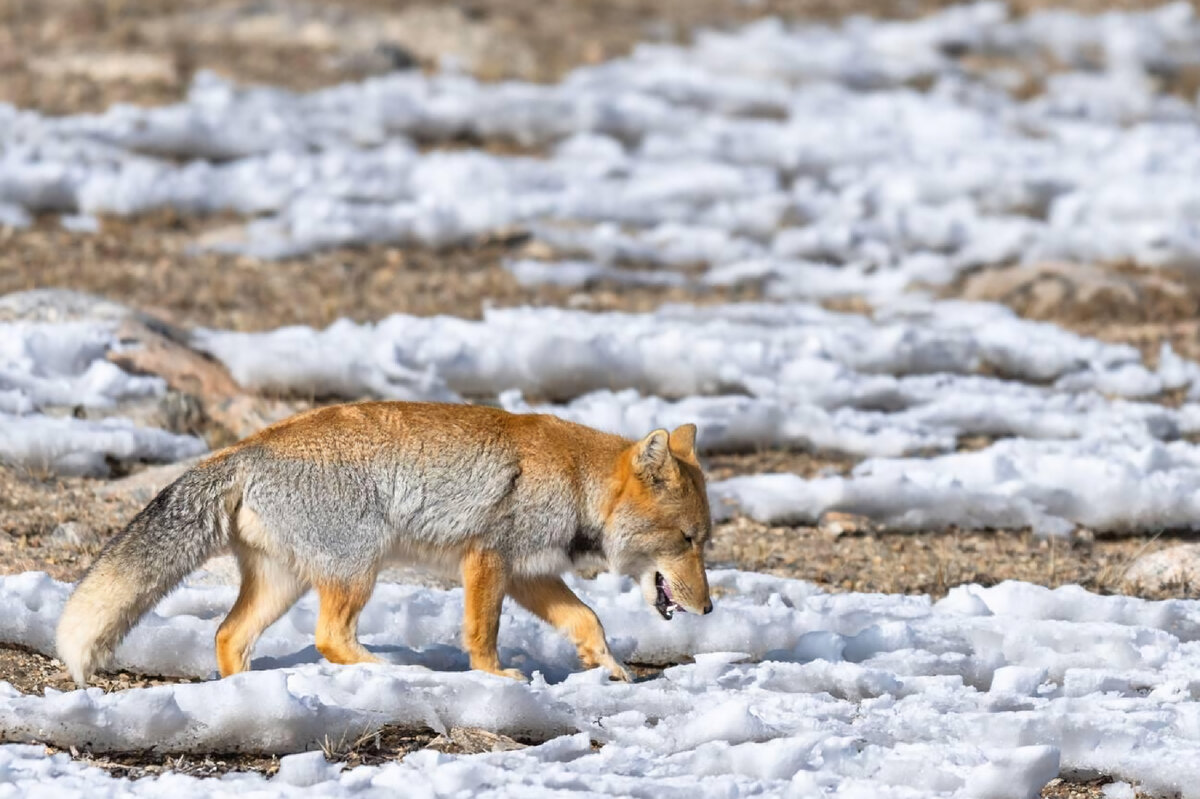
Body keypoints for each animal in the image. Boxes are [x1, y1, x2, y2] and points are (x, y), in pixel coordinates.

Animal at [56, 400, 710, 681]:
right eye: (687, 540)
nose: (708, 608)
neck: (577, 480)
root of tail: (244, 448)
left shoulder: (529, 573)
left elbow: (587, 620)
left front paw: (610, 668)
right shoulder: (489, 559)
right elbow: (483, 635)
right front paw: (496, 680)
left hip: (283, 585)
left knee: (228, 636)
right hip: (358, 570)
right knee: (328, 637)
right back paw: (391, 671)